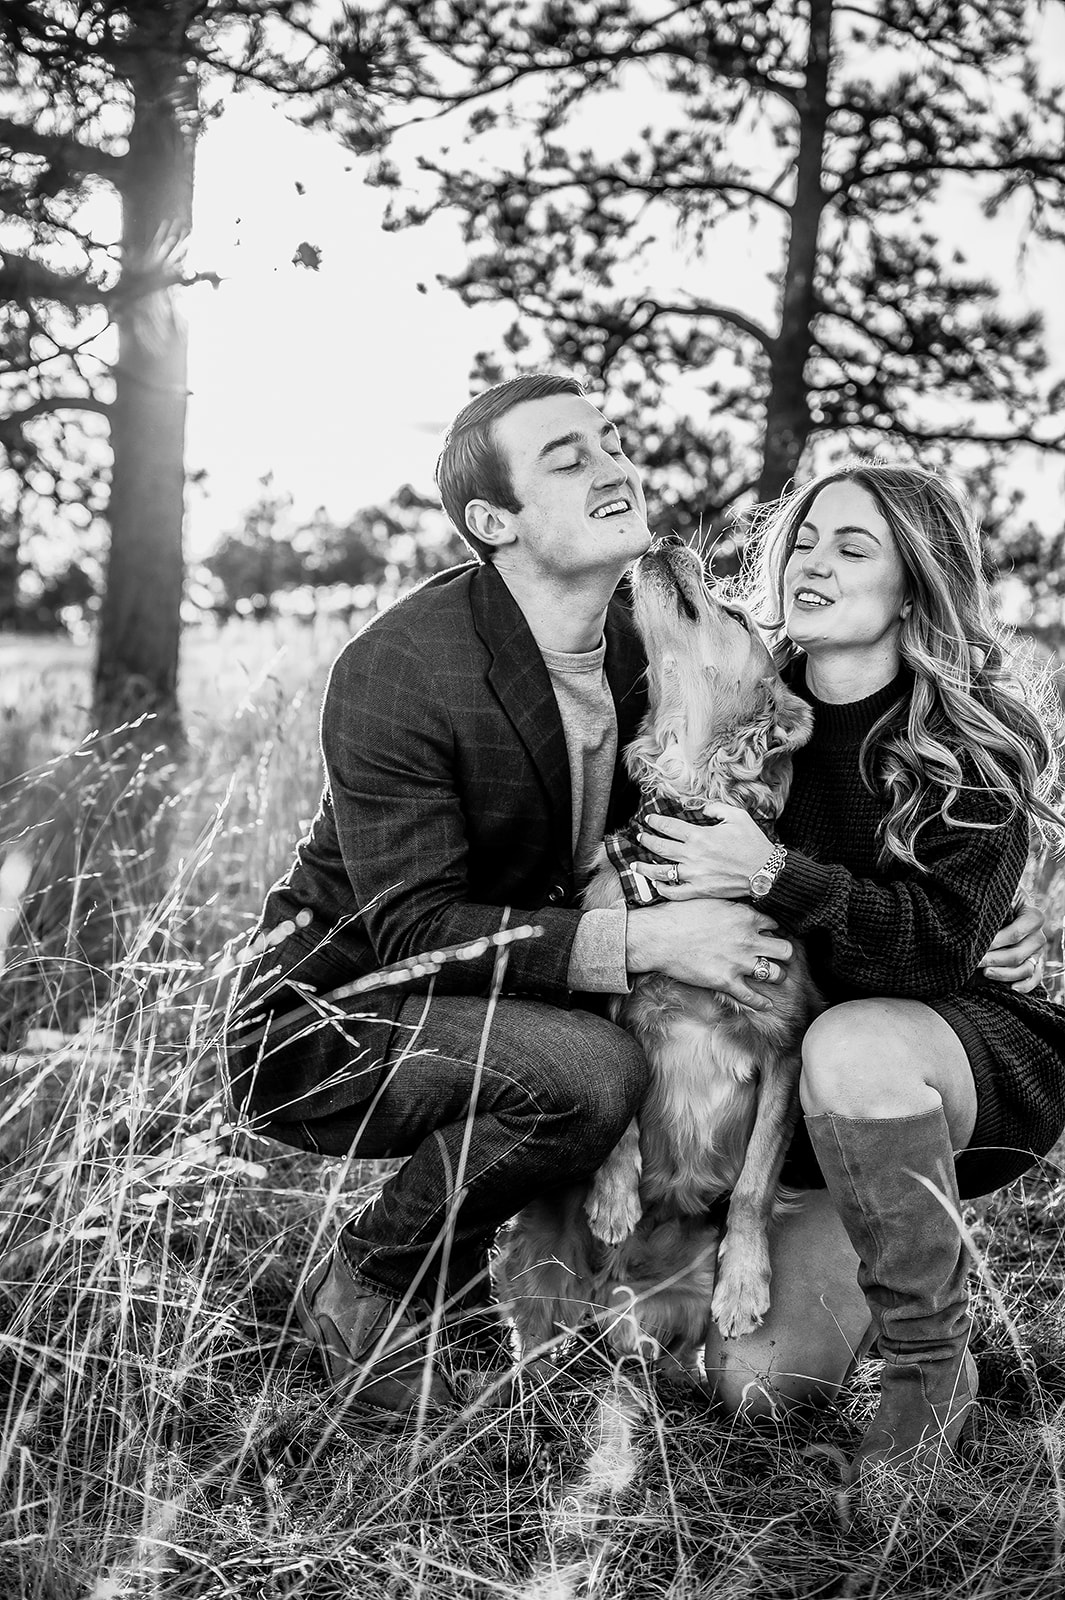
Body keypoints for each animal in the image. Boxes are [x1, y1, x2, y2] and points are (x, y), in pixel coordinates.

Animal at [493, 537, 821, 1376]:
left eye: (735, 615)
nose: (668, 540)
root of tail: (608, 1291)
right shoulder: (615, 997)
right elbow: (630, 1096)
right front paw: (614, 1196)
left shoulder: (784, 1046)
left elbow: (753, 1182)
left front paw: (743, 1283)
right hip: (540, 1257)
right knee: (535, 1329)